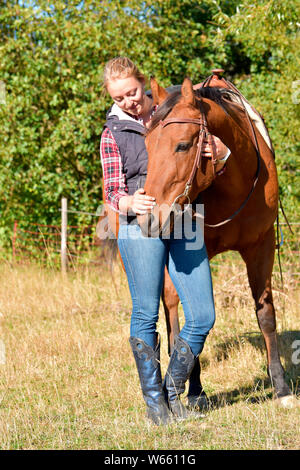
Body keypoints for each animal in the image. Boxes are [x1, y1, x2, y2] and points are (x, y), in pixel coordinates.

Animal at [135, 73, 296, 408]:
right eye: (147, 144)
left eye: (183, 145)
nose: (149, 218)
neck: (237, 182)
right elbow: (194, 318)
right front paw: (195, 389)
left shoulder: (260, 247)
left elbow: (266, 314)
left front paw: (281, 387)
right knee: (173, 313)